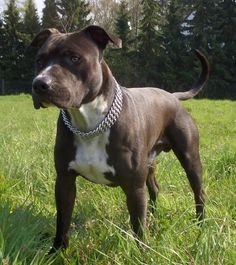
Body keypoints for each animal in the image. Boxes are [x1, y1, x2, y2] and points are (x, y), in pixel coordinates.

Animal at [30, 25, 209, 251]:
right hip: (150, 162)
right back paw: (154, 216)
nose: (39, 84)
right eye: (39, 60)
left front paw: (143, 253)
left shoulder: (133, 187)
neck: (89, 124)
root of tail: (172, 95)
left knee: (198, 192)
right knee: (154, 189)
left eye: (74, 58)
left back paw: (200, 225)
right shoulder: (64, 181)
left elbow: (138, 227)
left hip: (190, 158)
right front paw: (56, 252)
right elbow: (62, 222)